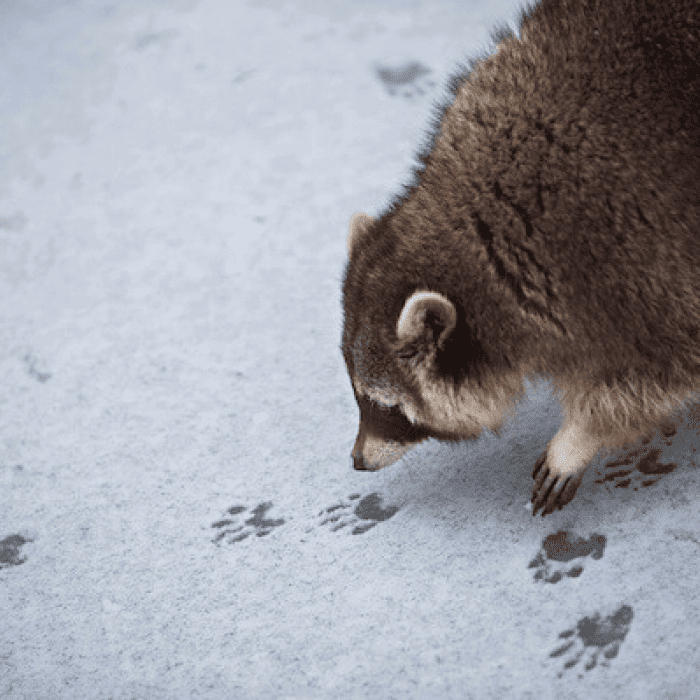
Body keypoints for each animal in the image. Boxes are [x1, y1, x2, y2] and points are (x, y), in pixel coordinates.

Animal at [340, 0, 700, 516]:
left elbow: (657, 371)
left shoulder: (644, 255)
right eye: (357, 393)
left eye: (385, 406)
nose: (358, 460)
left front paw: (579, 436)